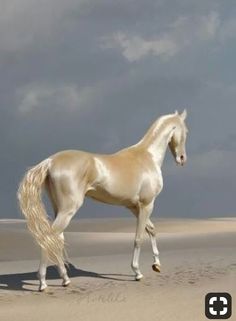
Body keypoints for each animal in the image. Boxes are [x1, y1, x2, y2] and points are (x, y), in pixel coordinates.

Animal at [17, 109, 188, 290]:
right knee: (49, 238)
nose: (182, 158)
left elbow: (152, 230)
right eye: (186, 131)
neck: (147, 157)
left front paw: (156, 264)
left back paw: (65, 279)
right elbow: (139, 238)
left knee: (57, 240)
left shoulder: (134, 207)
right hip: (68, 210)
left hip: (59, 209)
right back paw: (43, 283)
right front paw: (137, 272)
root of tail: (50, 161)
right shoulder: (147, 204)